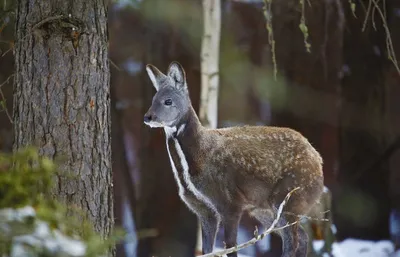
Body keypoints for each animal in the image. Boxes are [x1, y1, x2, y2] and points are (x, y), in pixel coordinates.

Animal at [144, 61, 324, 256]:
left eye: (168, 101)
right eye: (153, 99)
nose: (147, 117)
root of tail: (318, 160)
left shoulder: (230, 202)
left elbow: (231, 247)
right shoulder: (203, 210)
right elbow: (207, 250)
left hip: (289, 196)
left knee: (293, 240)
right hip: (263, 208)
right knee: (302, 237)